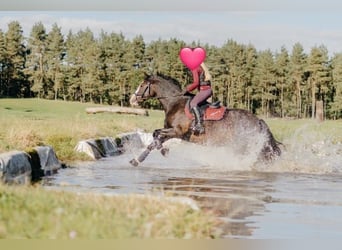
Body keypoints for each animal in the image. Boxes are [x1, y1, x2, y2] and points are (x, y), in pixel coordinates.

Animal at [128, 73, 280, 166]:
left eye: (142, 85)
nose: (132, 99)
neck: (174, 102)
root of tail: (258, 120)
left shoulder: (177, 131)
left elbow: (156, 135)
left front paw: (163, 151)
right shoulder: (171, 132)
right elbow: (153, 141)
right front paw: (137, 160)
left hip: (243, 145)